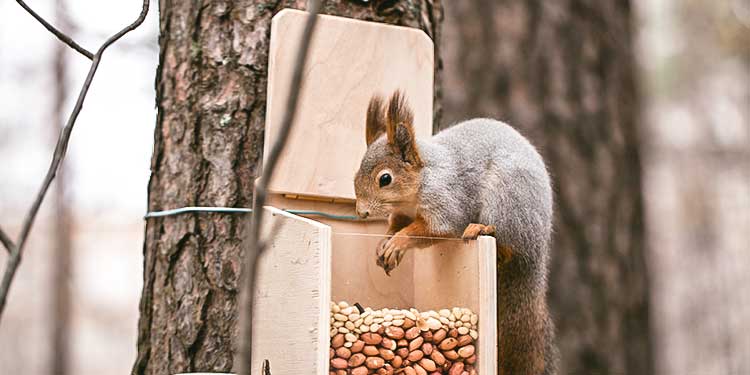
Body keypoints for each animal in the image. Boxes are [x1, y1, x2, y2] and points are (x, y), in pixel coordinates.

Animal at [356, 91, 560, 375]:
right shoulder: (402, 213)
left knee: (508, 244)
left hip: (508, 202)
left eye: (385, 179)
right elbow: (396, 225)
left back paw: (482, 228)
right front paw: (384, 243)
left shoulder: (447, 202)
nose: (361, 212)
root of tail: (537, 251)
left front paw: (398, 243)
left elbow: (433, 229)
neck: (421, 180)